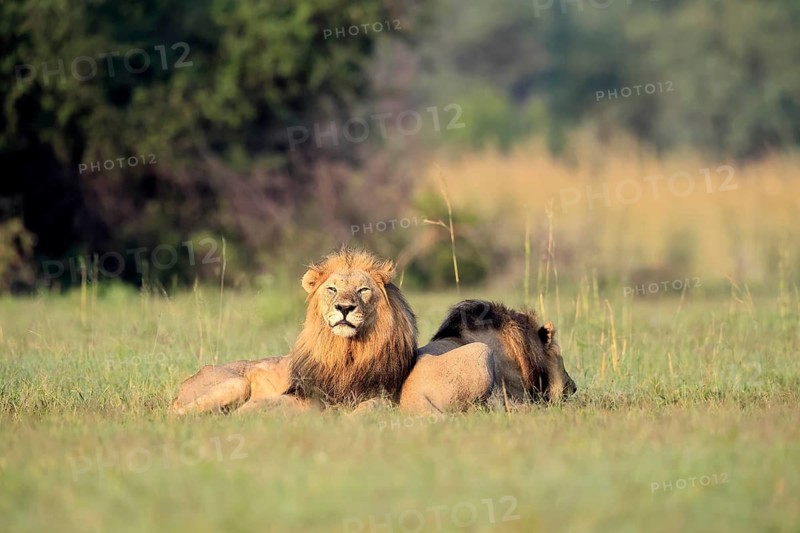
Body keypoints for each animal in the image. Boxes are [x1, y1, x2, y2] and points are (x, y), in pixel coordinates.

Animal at [169, 248, 418, 415]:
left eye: (363, 290)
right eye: (332, 289)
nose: (345, 308)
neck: (346, 353)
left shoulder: (383, 394)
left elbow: (371, 406)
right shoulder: (304, 393)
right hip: (236, 383)